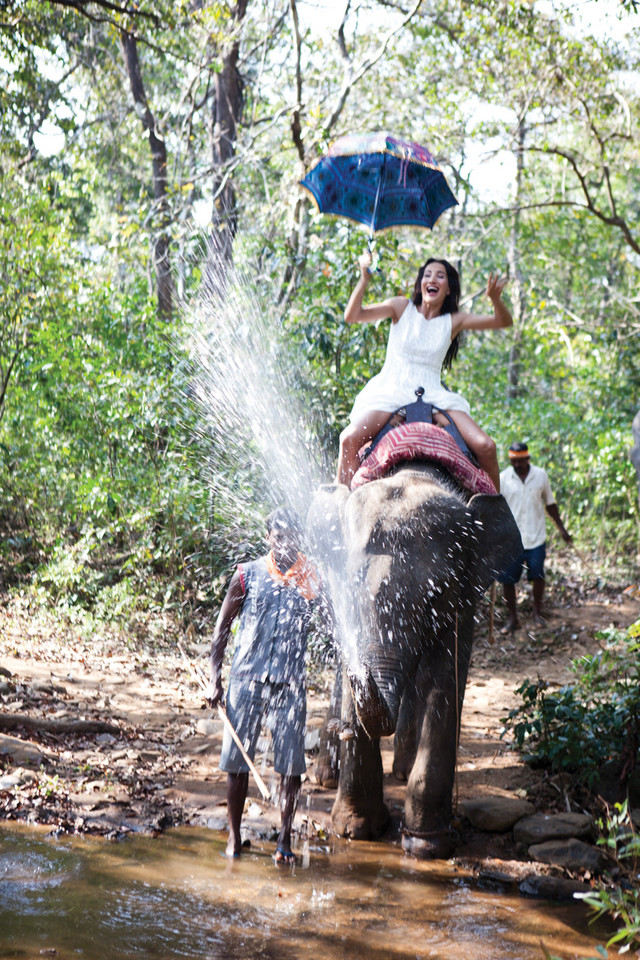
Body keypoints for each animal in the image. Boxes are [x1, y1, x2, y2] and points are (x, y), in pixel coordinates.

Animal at [308, 462, 524, 860]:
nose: (342, 728)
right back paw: (327, 775)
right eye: (350, 591)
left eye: (433, 597)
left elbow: (447, 678)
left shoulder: (463, 595)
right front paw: (355, 832)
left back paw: (401, 770)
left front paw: (426, 845)